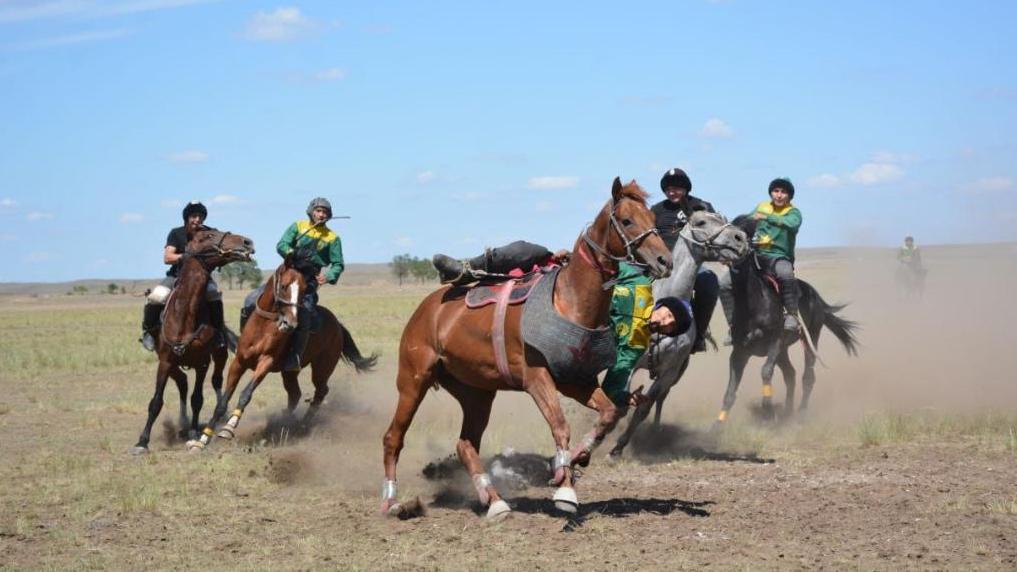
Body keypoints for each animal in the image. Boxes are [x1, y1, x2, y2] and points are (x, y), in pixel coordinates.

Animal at [129, 227, 256, 453]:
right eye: (208, 236)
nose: (247, 242)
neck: (184, 316)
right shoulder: (165, 361)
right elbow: (156, 402)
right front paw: (142, 442)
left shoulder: (202, 363)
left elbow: (197, 399)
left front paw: (195, 434)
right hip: (172, 364)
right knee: (182, 383)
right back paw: (183, 423)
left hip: (219, 356)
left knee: (215, 381)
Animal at [187, 249, 378, 449]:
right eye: (284, 286)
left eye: (304, 289)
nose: (290, 323)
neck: (263, 326)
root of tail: (338, 326)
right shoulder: (239, 363)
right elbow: (223, 401)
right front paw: (203, 439)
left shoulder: (266, 363)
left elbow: (246, 393)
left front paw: (229, 427)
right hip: (289, 372)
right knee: (295, 394)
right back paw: (284, 421)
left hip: (322, 368)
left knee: (320, 391)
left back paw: (302, 425)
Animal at [378, 177, 671, 517]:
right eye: (626, 220)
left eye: (651, 218)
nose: (665, 260)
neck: (569, 301)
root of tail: (426, 310)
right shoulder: (536, 379)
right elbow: (560, 426)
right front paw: (565, 488)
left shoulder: (575, 380)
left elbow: (609, 413)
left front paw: (576, 459)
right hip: (414, 381)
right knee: (393, 438)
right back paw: (392, 501)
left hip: (476, 393)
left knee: (466, 445)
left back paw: (494, 501)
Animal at [715, 215, 858, 425]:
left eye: (744, 234)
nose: (728, 254)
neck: (753, 303)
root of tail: (815, 296)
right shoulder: (739, 352)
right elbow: (729, 392)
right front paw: (717, 426)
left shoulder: (775, 342)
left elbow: (766, 371)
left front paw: (767, 411)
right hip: (784, 351)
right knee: (790, 375)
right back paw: (787, 412)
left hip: (810, 338)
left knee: (808, 376)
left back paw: (801, 412)